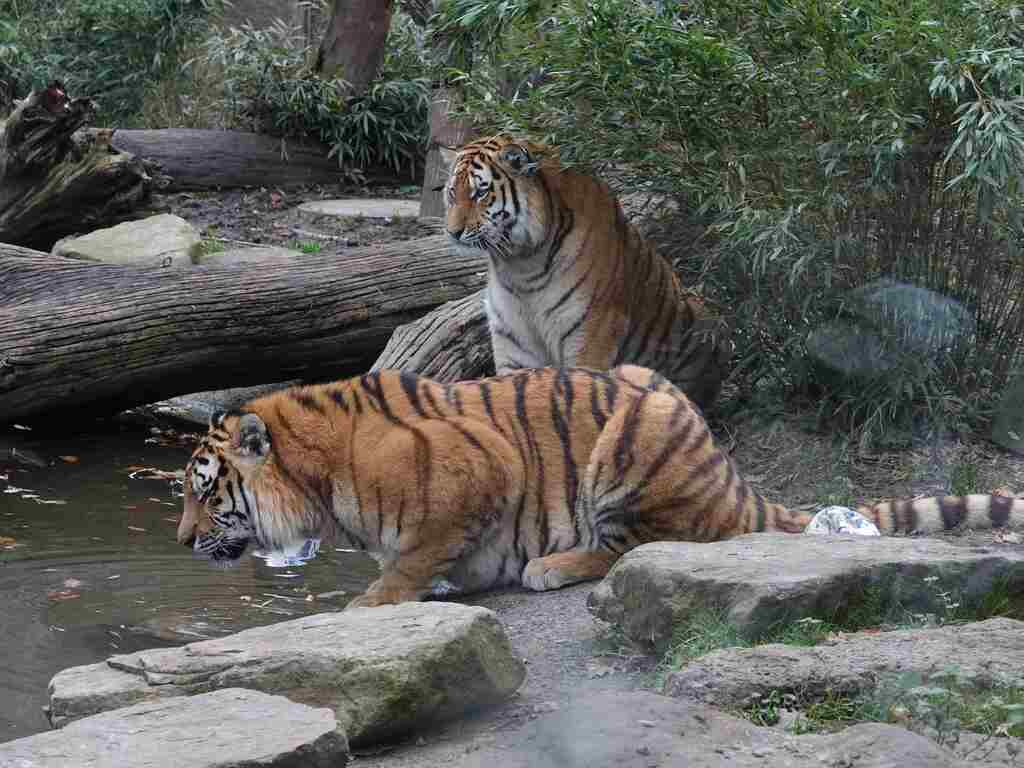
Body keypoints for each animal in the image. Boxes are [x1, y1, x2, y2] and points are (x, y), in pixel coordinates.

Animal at [176, 366, 1023, 609]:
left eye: (205, 493)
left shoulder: (475, 473)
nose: (180, 542)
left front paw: (373, 603)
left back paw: (551, 567)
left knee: (637, 546)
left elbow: (411, 560)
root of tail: (729, 473)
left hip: (631, 448)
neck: (318, 480)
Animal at [442, 134, 731, 411]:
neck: (520, 264)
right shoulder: (514, 340)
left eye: (480, 192)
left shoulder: (589, 338)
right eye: (452, 192)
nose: (452, 232)